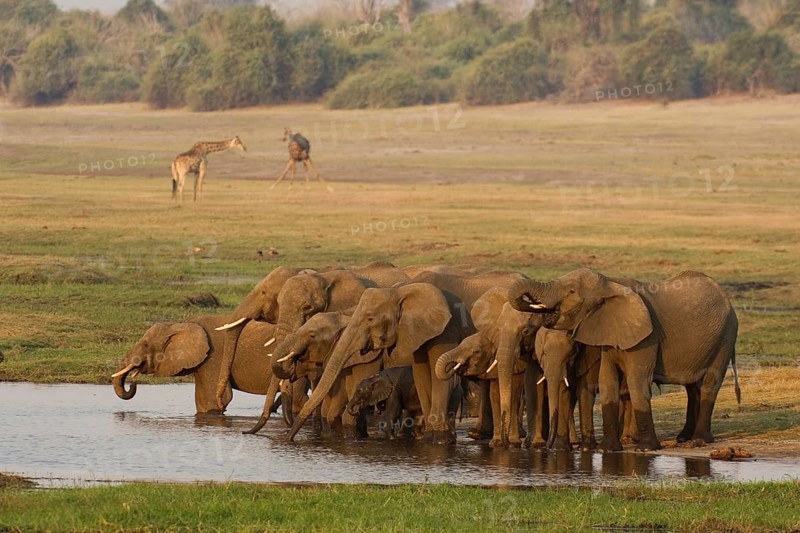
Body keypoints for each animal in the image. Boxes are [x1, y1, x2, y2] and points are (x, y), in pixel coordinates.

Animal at [436, 287, 547, 448]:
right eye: (498, 329)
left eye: (476, 351)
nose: (454, 367)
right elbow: (494, 393)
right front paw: (496, 443)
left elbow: (514, 391)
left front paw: (512, 443)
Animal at [509, 268, 741, 451]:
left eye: (572, 292)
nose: (543, 448)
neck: (611, 284)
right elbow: (607, 379)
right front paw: (607, 450)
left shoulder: (647, 338)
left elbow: (638, 381)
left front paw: (645, 449)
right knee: (692, 387)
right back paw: (684, 438)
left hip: (726, 336)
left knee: (710, 384)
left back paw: (699, 440)